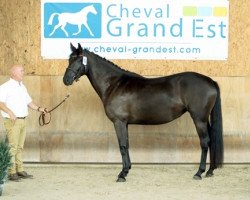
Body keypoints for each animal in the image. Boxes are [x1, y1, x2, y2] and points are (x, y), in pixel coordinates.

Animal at [63, 43, 224, 182]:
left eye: (79, 59)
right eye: (69, 59)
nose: (66, 80)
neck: (114, 84)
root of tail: (210, 81)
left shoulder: (119, 122)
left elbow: (122, 145)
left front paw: (122, 174)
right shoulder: (125, 123)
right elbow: (126, 144)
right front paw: (127, 169)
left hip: (199, 119)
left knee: (205, 142)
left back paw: (199, 173)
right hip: (204, 119)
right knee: (211, 140)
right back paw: (210, 171)